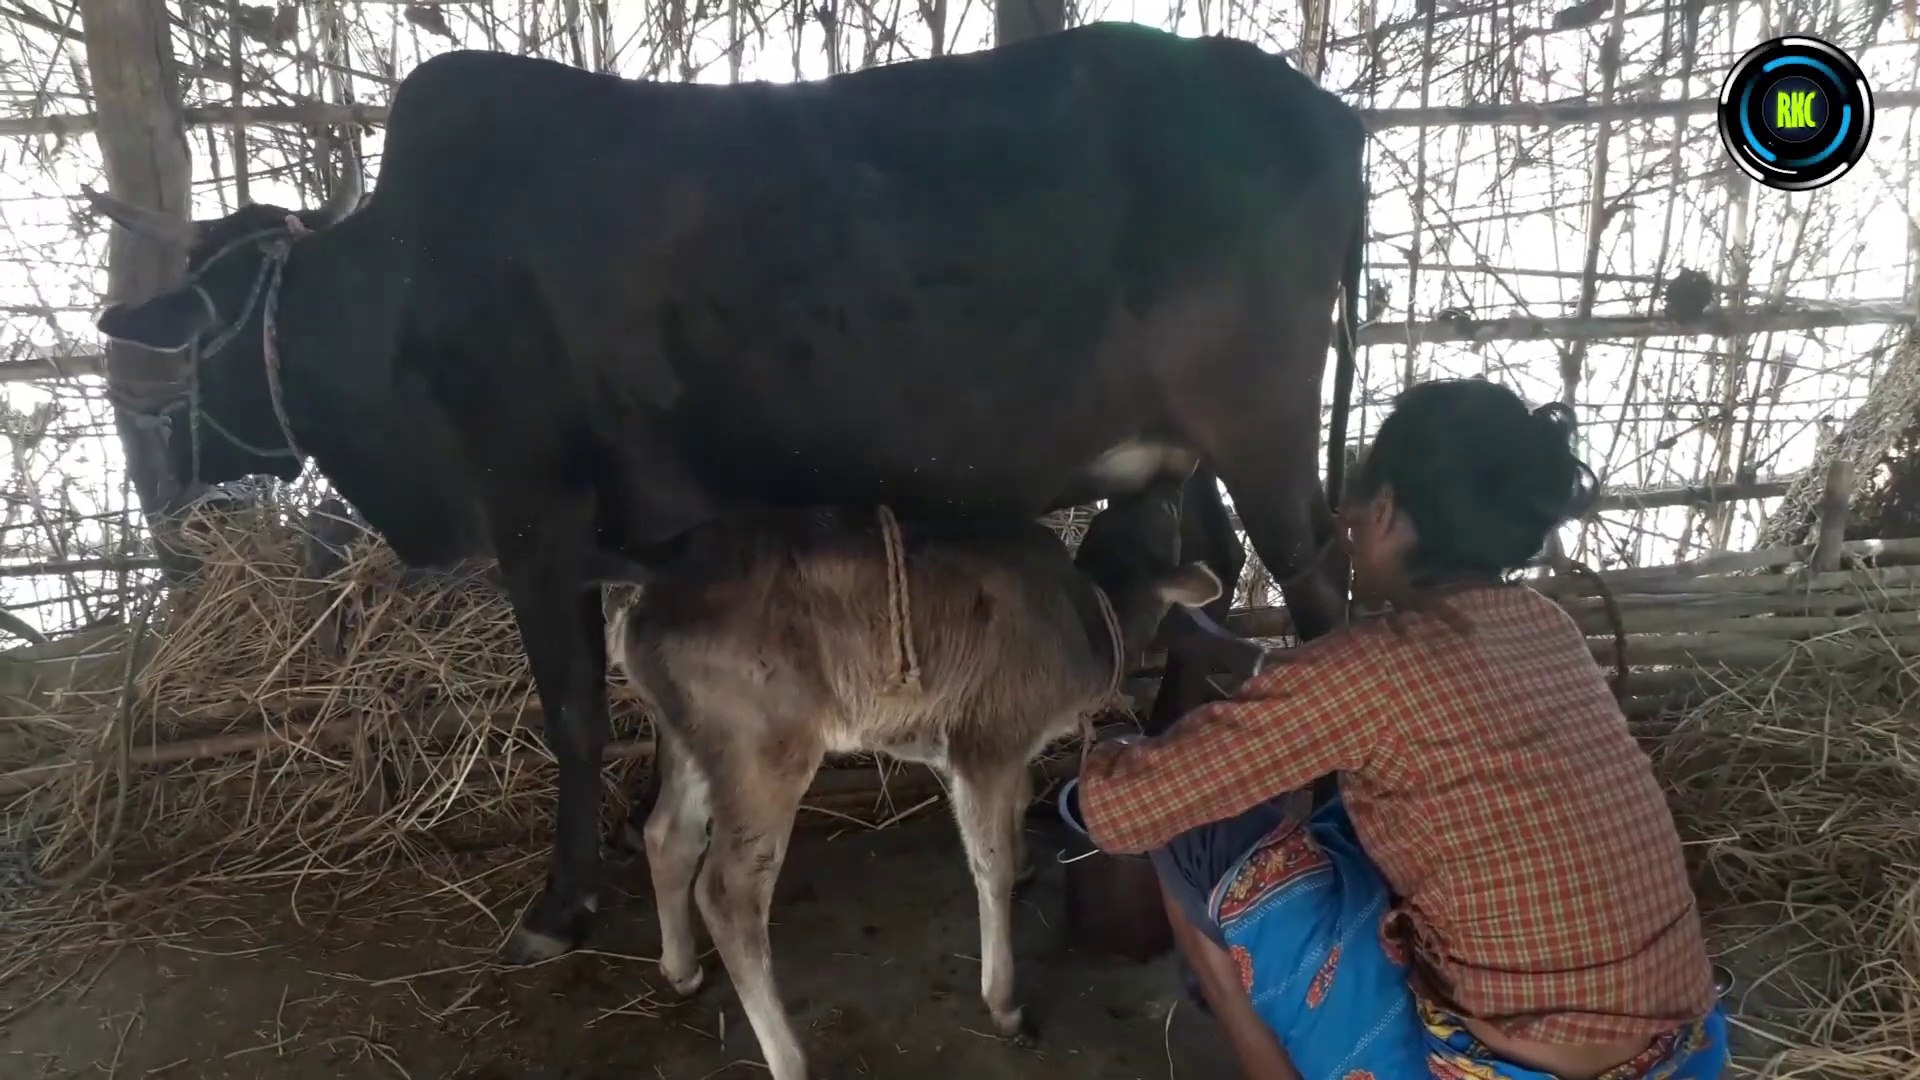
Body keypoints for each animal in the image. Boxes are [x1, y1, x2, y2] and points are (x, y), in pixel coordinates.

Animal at [84, 21, 1368, 965]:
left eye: (192, 335)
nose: (164, 467)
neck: (395, 292)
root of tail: (1321, 109)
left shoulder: (535, 517)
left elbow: (574, 713)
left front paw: (562, 905)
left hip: (1259, 427)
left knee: (1319, 596)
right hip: (1183, 452)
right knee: (1213, 579)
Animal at [606, 485, 1222, 1079]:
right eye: (1169, 512)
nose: (1176, 486)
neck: (1087, 626)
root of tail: (648, 592)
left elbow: (1021, 800)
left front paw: (1026, 862)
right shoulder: (985, 740)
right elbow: (989, 864)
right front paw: (1003, 1001)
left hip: (690, 736)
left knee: (668, 835)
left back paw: (680, 968)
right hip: (763, 745)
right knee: (727, 890)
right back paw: (790, 1059)